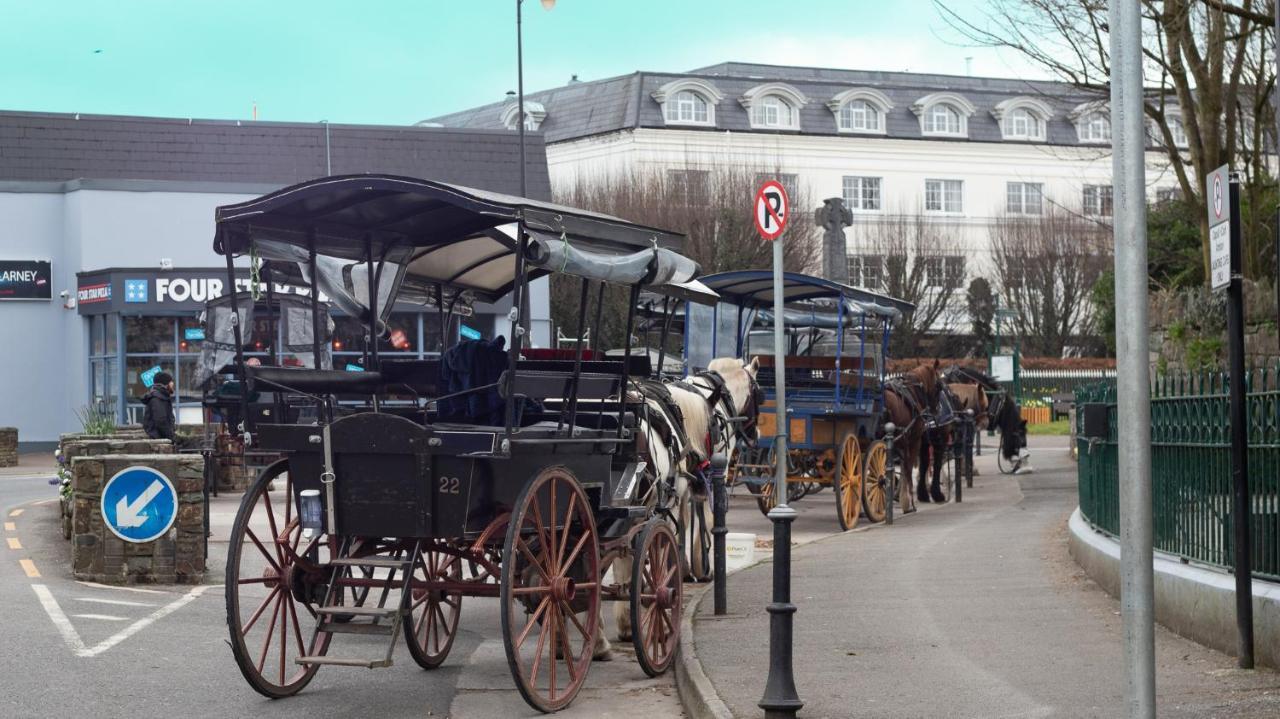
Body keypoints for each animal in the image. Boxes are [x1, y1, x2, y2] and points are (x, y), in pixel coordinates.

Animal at [885, 358, 947, 504]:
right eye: (939, 386)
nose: (936, 410)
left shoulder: (903, 442)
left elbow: (904, 467)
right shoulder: (914, 440)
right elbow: (909, 467)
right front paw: (908, 499)